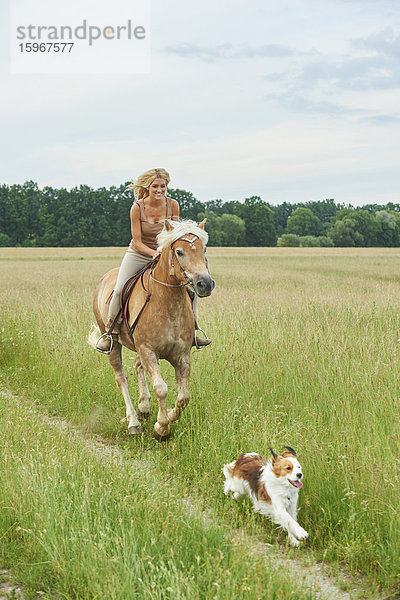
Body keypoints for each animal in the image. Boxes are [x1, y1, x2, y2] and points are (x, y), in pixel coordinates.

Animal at [88, 220, 216, 440]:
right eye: (179, 252)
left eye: (204, 249)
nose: (205, 284)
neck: (167, 302)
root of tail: (105, 277)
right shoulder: (148, 350)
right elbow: (161, 388)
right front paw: (161, 428)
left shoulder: (182, 355)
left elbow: (184, 396)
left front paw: (168, 416)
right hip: (113, 344)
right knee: (121, 378)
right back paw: (133, 422)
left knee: (137, 366)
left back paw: (144, 408)